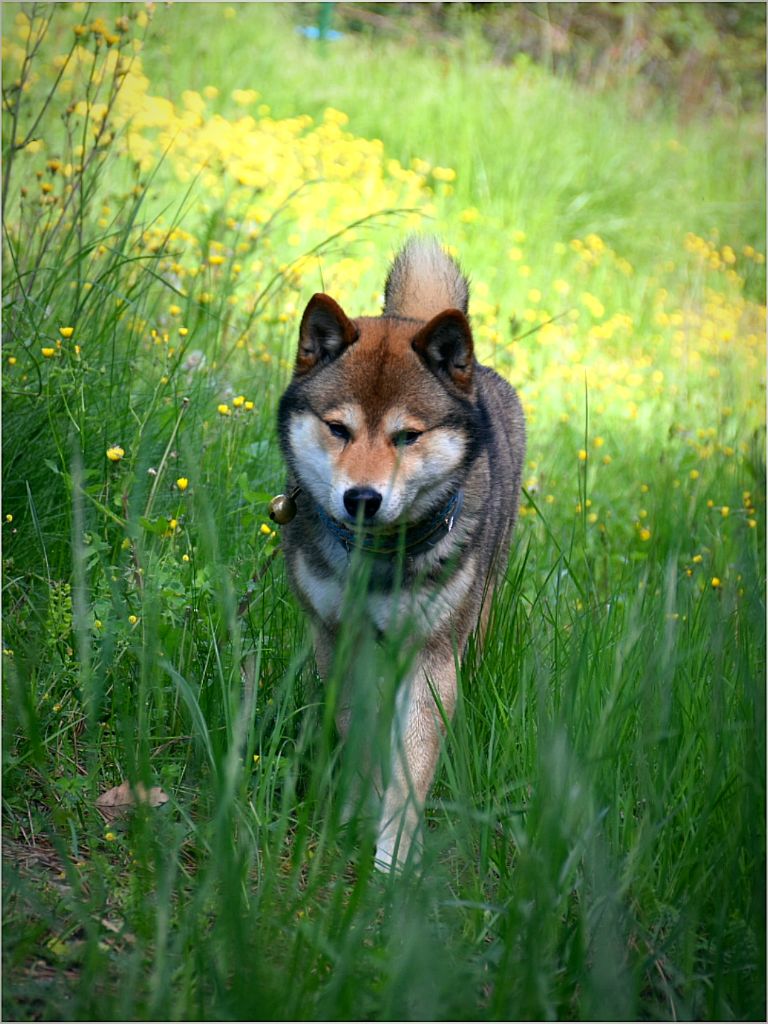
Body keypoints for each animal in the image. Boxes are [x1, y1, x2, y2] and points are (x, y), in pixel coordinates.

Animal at [274, 235, 528, 868]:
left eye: (407, 436)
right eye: (338, 428)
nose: (362, 498)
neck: (378, 562)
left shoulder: (433, 660)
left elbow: (411, 766)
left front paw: (391, 858)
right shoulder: (340, 642)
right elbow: (358, 737)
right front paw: (351, 821)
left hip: (476, 615)